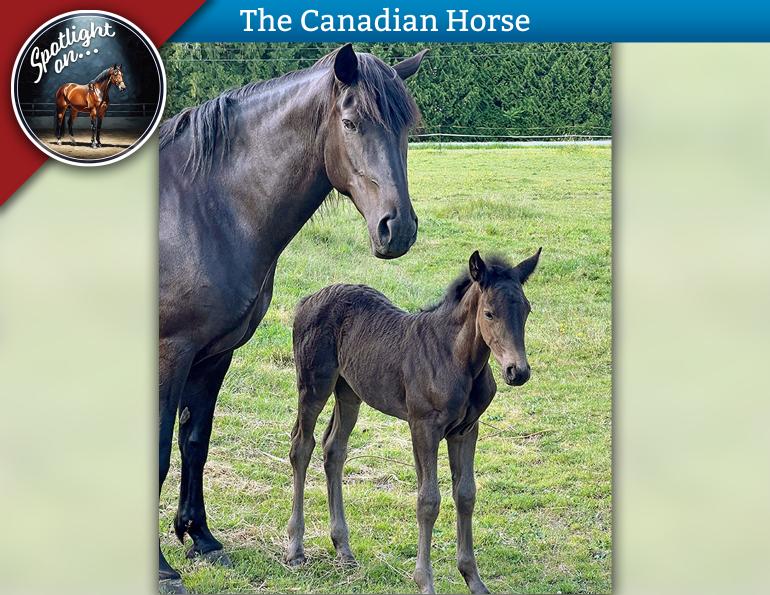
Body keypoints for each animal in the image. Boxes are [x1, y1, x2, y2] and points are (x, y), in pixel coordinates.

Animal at [157, 44, 427, 593]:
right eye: (351, 122)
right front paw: (160, 566)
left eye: (406, 128)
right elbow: (156, 454)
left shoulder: (213, 354)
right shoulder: (169, 352)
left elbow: (194, 441)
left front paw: (200, 537)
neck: (202, 208)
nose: (399, 228)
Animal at [288, 248, 542, 594]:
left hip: (349, 391)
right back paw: (295, 548)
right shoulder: (423, 426)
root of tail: (307, 300)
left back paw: (344, 548)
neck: (458, 359)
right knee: (302, 446)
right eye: (489, 314)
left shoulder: (466, 430)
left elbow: (466, 494)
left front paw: (474, 580)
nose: (518, 371)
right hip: (314, 385)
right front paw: (425, 581)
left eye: (526, 310)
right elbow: (428, 500)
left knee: (333, 450)